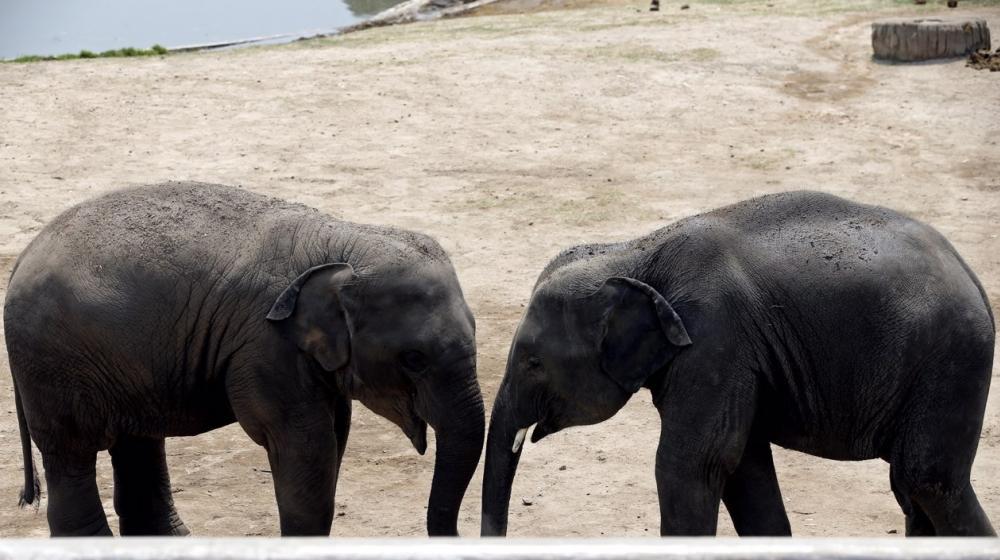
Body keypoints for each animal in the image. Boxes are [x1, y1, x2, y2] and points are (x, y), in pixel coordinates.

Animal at [5, 182, 485, 537]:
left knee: (137, 442)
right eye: (414, 358)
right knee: (72, 454)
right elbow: (306, 447)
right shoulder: (265, 347)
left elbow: (335, 435)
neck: (343, 242)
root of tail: (22, 256)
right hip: (54, 365)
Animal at [481, 190, 995, 537]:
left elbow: (691, 463)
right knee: (911, 491)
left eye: (532, 362)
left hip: (950, 366)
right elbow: (744, 464)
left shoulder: (715, 338)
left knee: (926, 480)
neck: (634, 252)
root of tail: (973, 277)